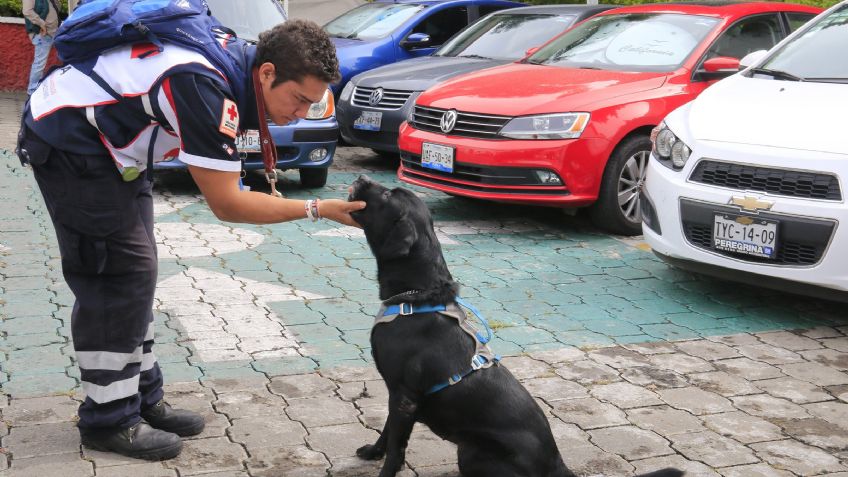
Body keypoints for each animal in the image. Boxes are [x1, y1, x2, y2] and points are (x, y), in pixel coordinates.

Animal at [348, 176, 684, 476]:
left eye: (388, 194)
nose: (362, 178)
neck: (416, 296)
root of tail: (556, 464)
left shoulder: (404, 397)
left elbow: (396, 448)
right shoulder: (397, 393)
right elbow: (386, 431)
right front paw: (373, 451)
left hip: (470, 452)